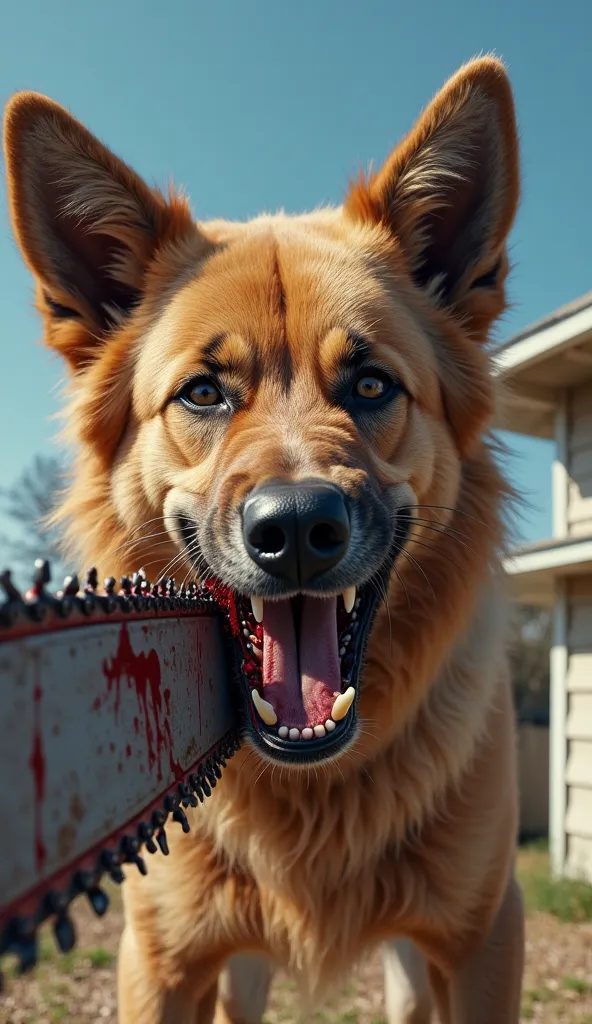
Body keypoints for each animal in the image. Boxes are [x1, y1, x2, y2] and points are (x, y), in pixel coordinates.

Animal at [3, 58, 520, 1024]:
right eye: (203, 393)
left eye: (370, 384)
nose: (297, 532)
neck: (309, 788)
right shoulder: (163, 960)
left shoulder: (480, 941)